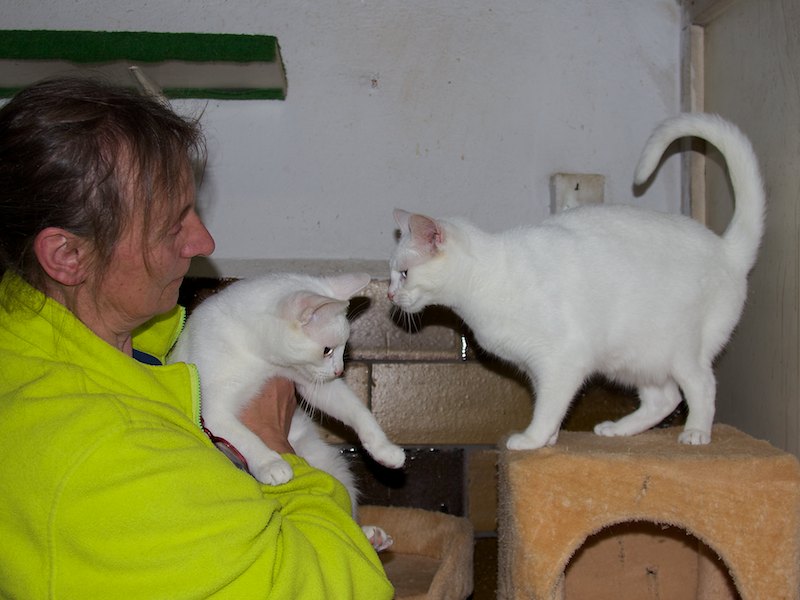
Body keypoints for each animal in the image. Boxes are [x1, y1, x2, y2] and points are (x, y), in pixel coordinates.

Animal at [169, 272, 405, 549]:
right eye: (327, 350)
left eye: (343, 348)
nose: (338, 370)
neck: (257, 354)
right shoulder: (213, 409)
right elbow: (245, 437)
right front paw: (270, 463)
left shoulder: (312, 382)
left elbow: (358, 411)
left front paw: (384, 449)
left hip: (332, 465)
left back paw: (369, 536)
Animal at [388, 113, 764, 450]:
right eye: (392, 273)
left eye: (404, 273)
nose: (390, 294)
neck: (487, 281)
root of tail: (726, 248)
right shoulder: (537, 368)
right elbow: (550, 406)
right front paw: (550, 439)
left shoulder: (562, 360)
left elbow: (548, 407)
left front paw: (531, 440)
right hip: (635, 359)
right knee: (665, 398)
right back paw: (617, 430)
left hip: (681, 351)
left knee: (702, 385)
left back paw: (696, 433)